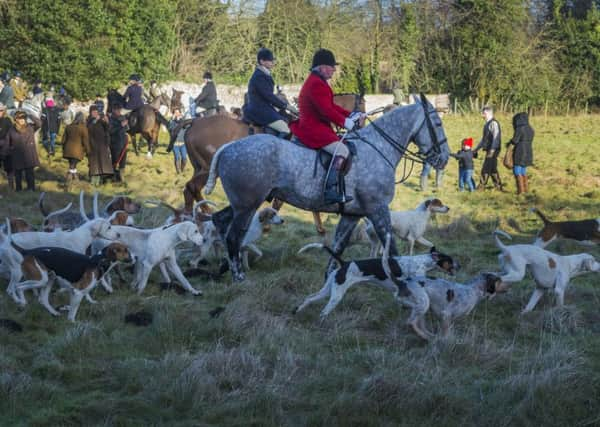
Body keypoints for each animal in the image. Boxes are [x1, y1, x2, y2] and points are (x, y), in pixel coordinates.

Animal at [204, 94, 448, 280]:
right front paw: (402, 280)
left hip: (243, 204)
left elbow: (338, 244)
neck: (378, 148)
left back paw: (224, 265)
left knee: (220, 220)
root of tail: (227, 147)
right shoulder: (378, 209)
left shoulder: (352, 214)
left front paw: (330, 276)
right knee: (233, 237)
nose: (445, 159)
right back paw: (237, 275)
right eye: (437, 124)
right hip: (247, 206)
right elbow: (391, 247)